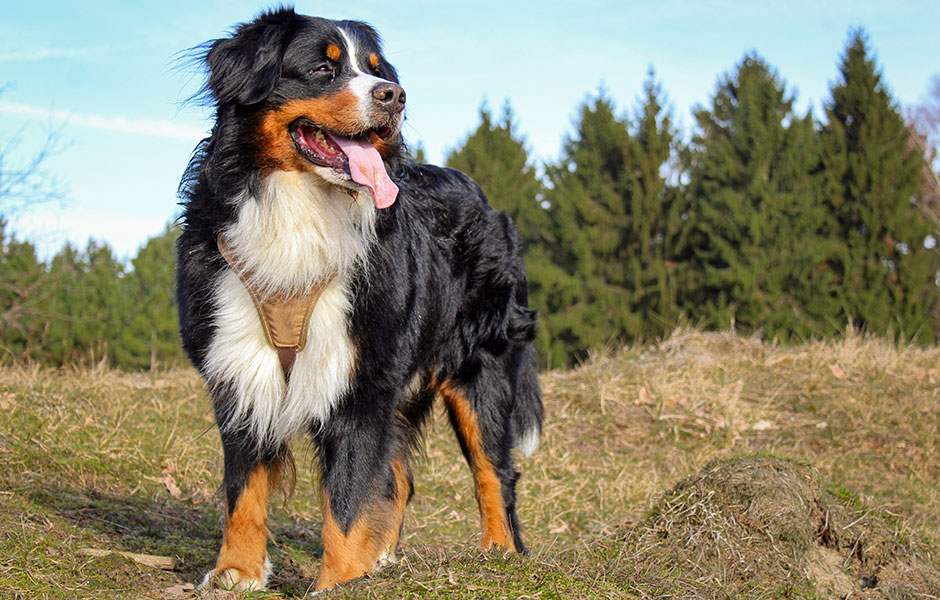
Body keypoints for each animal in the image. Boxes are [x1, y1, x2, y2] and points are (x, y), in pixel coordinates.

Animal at [176, 5, 544, 596]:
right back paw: (384, 561)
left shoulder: (359, 379)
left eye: (375, 69)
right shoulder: (239, 365)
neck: (300, 211)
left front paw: (338, 583)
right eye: (323, 69)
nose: (394, 95)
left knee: (494, 471)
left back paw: (501, 554)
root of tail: (487, 200)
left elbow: (347, 500)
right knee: (398, 478)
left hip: (479, 368)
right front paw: (237, 571)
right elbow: (243, 485)